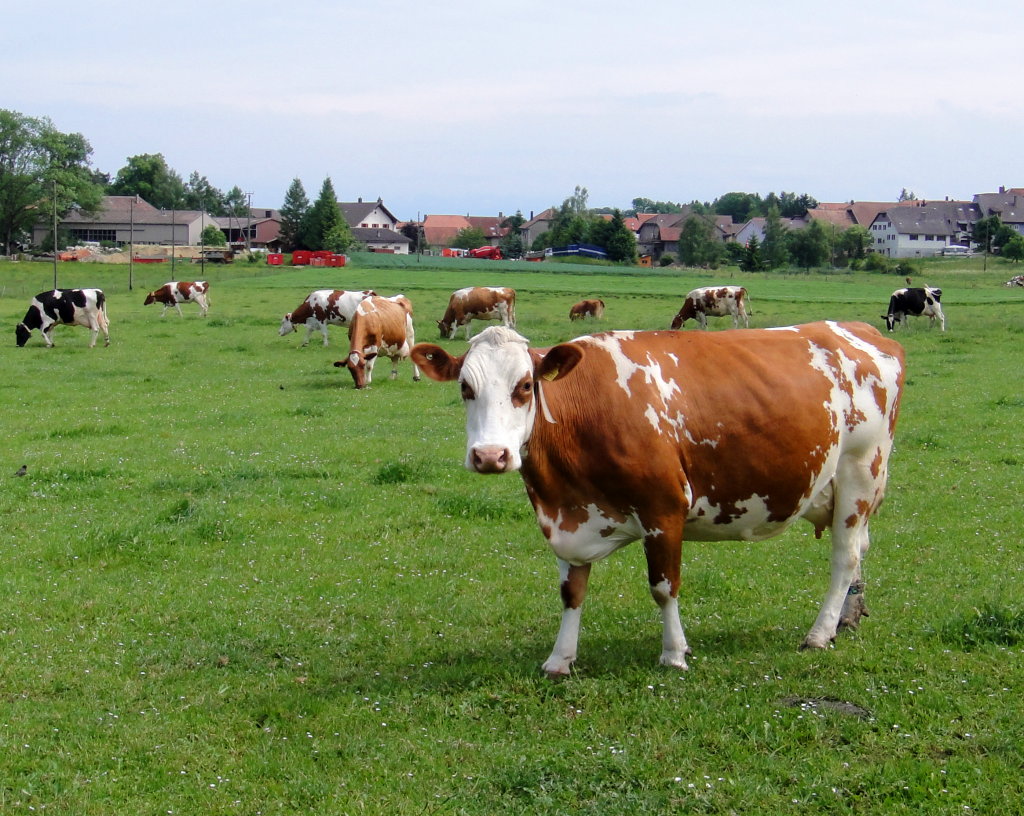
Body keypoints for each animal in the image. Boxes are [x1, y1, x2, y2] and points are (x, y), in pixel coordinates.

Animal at [411, 322, 905, 676]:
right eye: (465, 388)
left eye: (525, 386)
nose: (489, 455)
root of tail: (860, 329)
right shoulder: (567, 519)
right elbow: (572, 592)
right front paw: (560, 659)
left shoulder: (664, 510)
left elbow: (664, 588)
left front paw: (674, 654)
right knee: (859, 551)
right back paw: (846, 619)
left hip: (860, 472)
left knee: (844, 557)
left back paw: (819, 633)